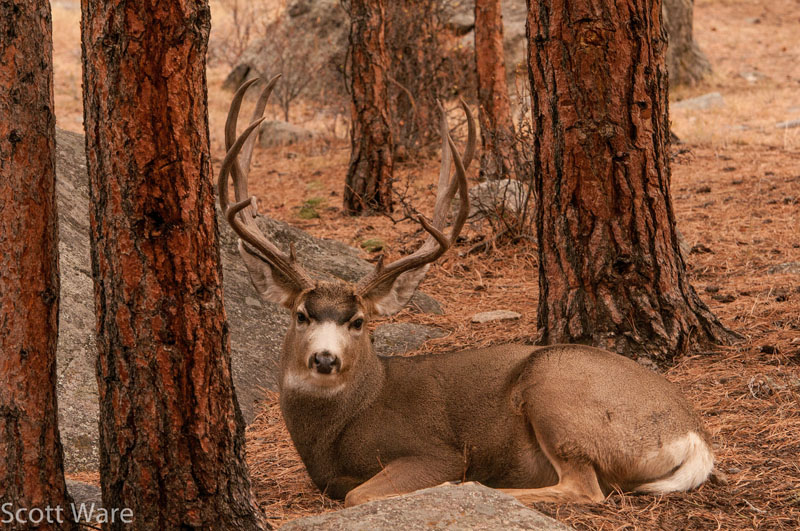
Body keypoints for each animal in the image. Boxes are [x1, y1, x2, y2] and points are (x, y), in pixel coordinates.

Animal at [218, 76, 716, 508]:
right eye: (301, 314)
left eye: (358, 322)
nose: (325, 359)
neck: (345, 420)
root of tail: (693, 435)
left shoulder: (433, 451)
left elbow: (359, 494)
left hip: (556, 390)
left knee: (584, 487)